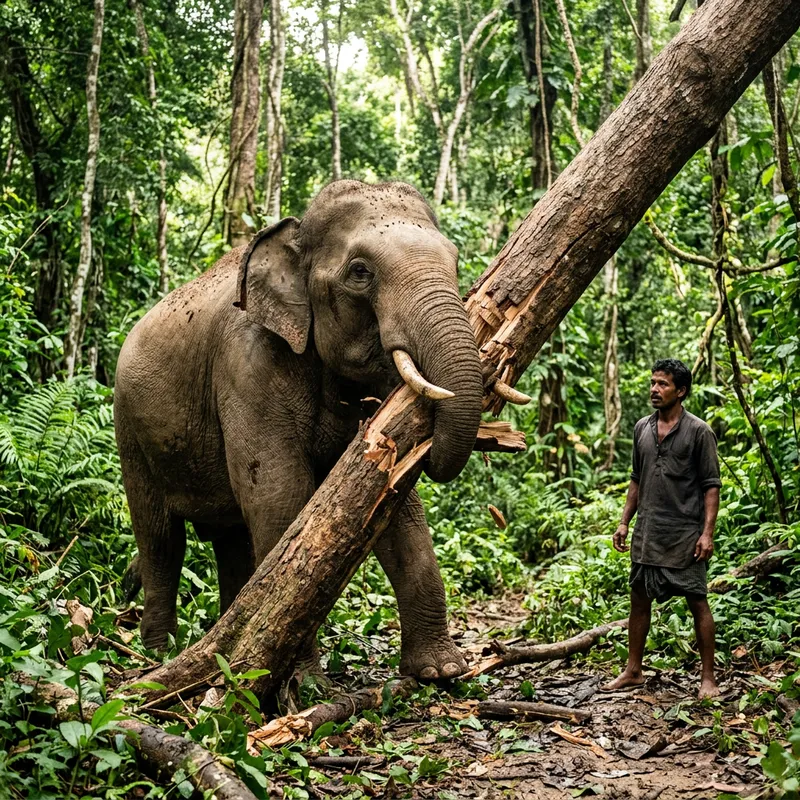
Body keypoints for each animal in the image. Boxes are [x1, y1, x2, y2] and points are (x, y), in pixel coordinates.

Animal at [114, 180, 484, 680]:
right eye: (360, 272)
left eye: (456, 261)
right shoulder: (247, 366)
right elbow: (278, 494)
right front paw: (303, 680)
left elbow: (395, 502)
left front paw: (440, 671)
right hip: (130, 430)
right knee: (160, 540)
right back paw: (159, 653)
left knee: (232, 542)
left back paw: (222, 646)